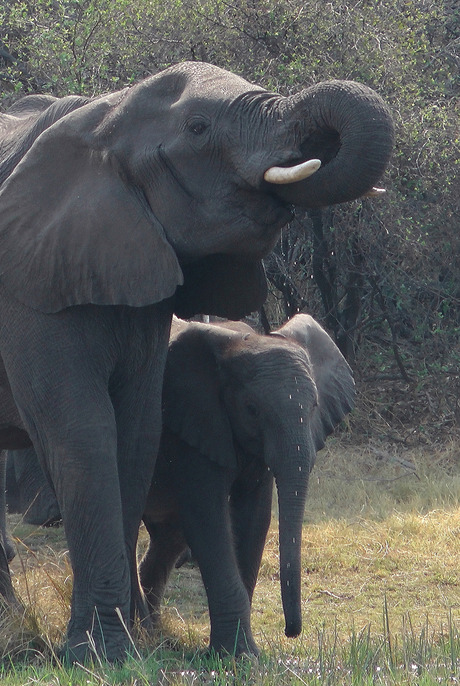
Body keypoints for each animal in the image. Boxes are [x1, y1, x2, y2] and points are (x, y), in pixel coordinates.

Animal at [138, 314, 354, 660]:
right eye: (252, 409)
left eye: (315, 405)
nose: (291, 631)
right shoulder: (194, 426)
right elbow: (208, 519)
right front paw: (236, 656)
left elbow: (255, 518)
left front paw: (242, 652)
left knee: (169, 535)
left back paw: (151, 633)